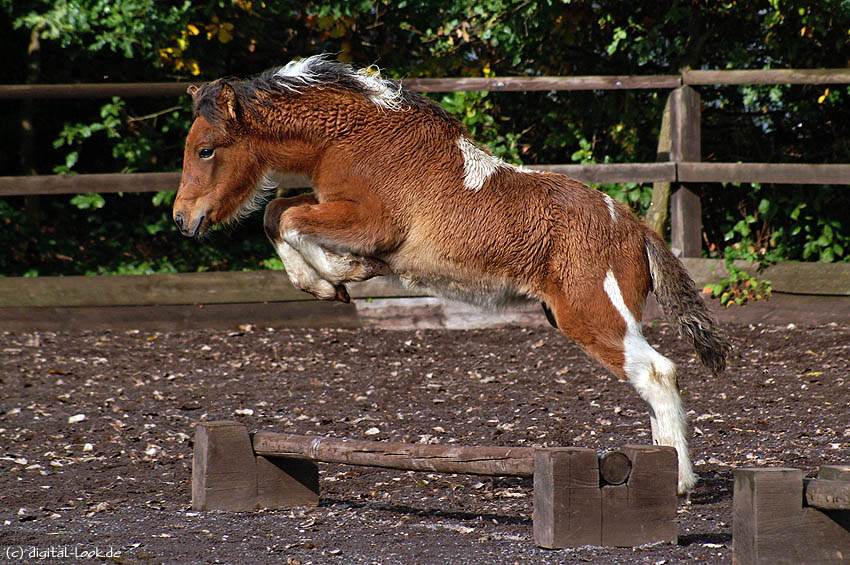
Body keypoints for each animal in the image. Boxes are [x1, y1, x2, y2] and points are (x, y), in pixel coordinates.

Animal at [174, 55, 728, 492]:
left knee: (658, 372)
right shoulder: (332, 204)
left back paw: (679, 481)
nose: (182, 219)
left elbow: (288, 220)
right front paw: (336, 279)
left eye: (206, 149)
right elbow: (277, 214)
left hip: (594, 316)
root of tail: (633, 227)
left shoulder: (371, 223)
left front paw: (339, 275)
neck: (355, 139)